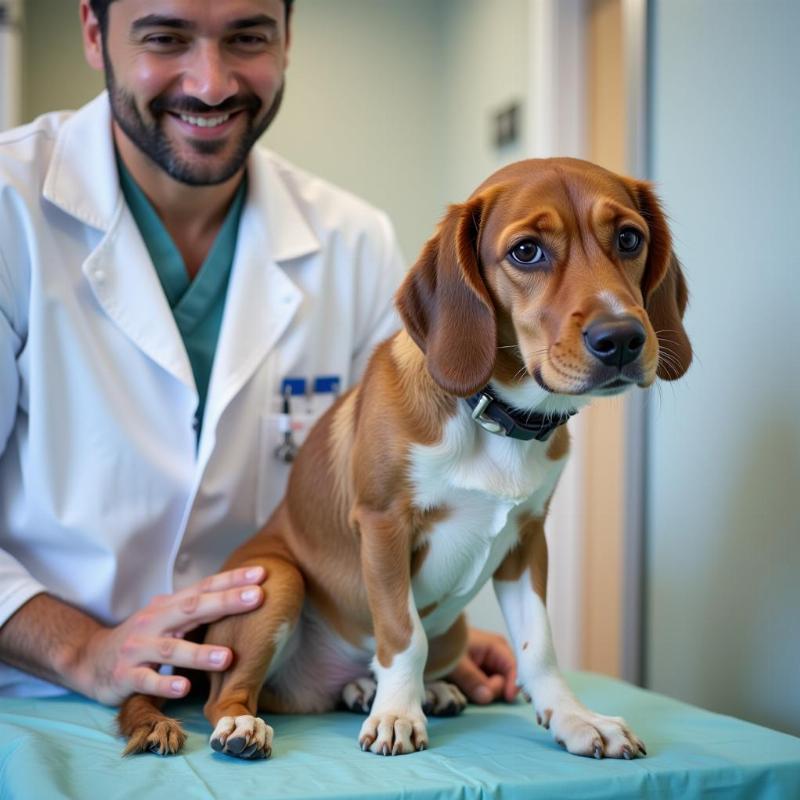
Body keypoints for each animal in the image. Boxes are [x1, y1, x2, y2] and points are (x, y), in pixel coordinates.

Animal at [117, 158, 688, 764]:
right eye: (526, 251)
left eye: (629, 239)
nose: (621, 338)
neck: (495, 416)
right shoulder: (384, 523)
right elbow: (401, 632)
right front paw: (395, 715)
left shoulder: (528, 539)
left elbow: (539, 649)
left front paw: (575, 719)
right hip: (276, 581)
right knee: (221, 695)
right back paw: (249, 724)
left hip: (453, 632)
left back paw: (390, 690)